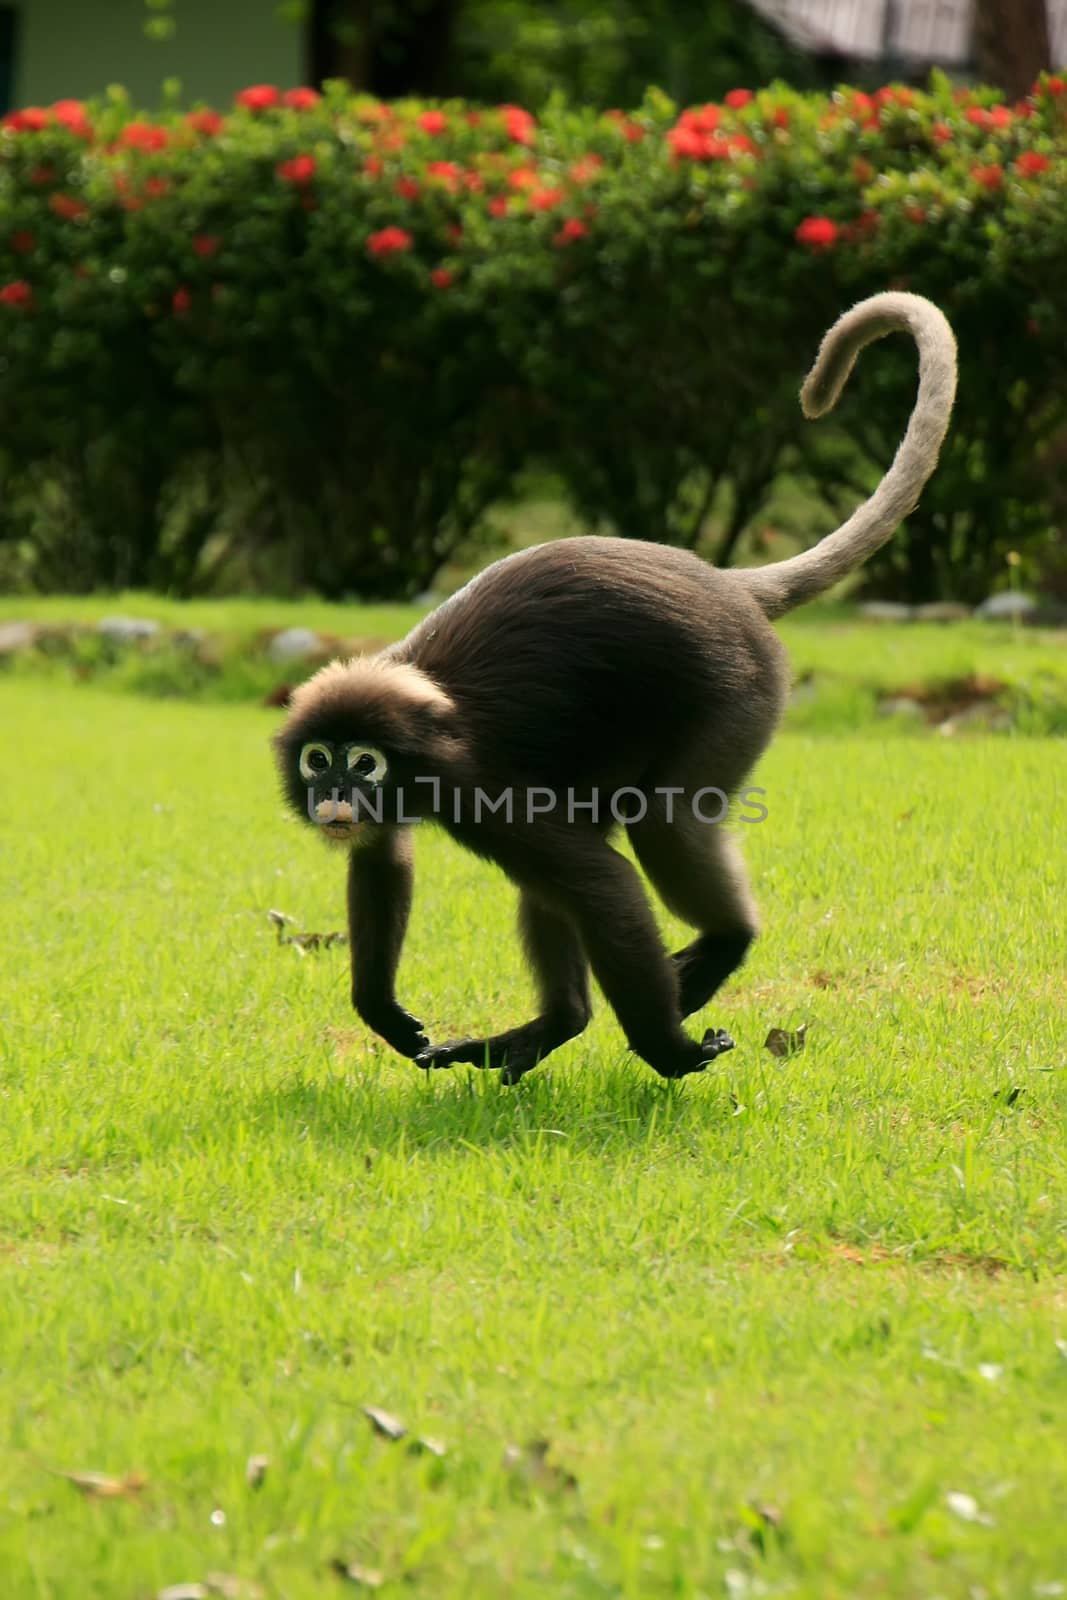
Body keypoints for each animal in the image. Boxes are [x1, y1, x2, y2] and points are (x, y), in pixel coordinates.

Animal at [275, 288, 959, 1088]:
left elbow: (603, 883)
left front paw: (668, 1052)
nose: (334, 795)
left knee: (660, 823)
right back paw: (557, 1023)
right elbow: (384, 854)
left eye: (363, 763)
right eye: (319, 760)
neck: (427, 725)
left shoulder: (478, 789)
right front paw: (381, 1009)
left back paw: (727, 940)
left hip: (739, 693)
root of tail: (730, 586)